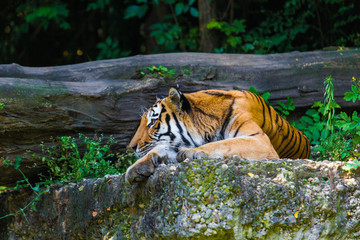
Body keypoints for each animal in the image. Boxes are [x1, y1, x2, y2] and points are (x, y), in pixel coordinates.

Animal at [125, 88, 310, 184]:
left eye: (152, 122)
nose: (131, 147)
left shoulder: (259, 140)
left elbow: (224, 143)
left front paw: (189, 153)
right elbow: (159, 150)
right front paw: (135, 169)